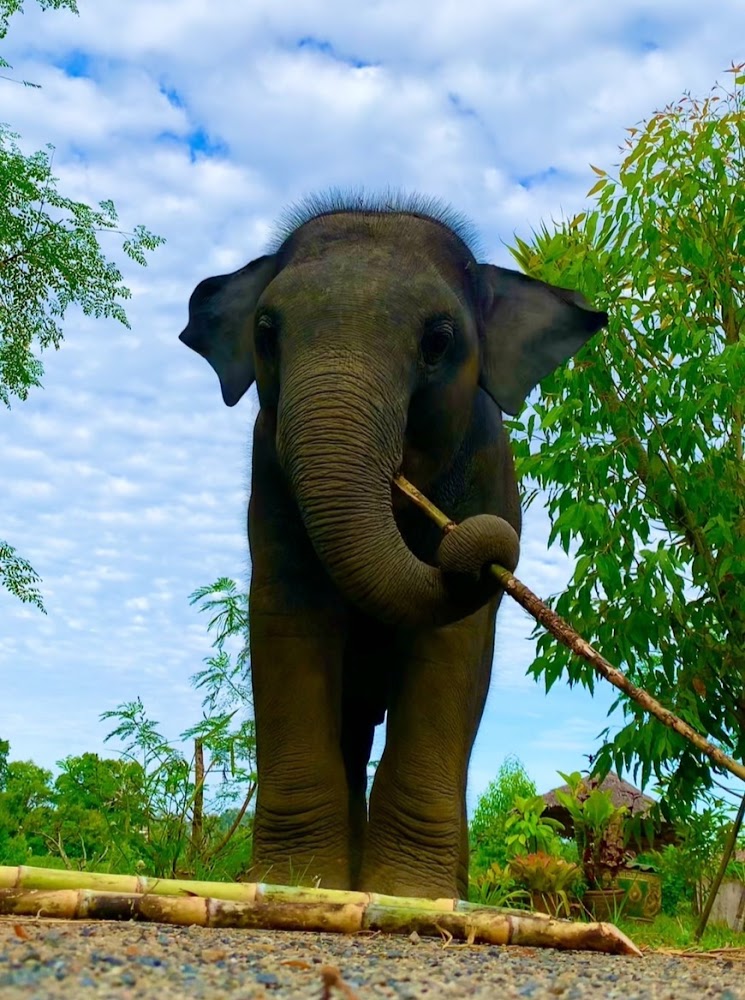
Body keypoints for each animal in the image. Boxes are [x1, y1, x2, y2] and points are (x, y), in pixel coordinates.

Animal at [180, 192, 607, 899]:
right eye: (265, 332)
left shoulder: (486, 463)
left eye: (438, 341)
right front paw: (296, 885)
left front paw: (410, 895)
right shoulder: (268, 474)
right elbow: (289, 617)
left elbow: (449, 648)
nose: (481, 546)